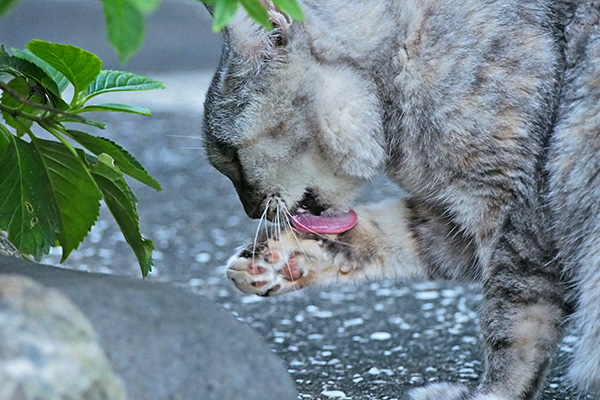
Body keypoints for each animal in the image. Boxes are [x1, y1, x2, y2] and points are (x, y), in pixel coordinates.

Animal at [203, 1, 600, 398]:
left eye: (232, 157)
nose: (250, 210)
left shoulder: (520, 220)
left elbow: (514, 326)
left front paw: (493, 392)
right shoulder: (463, 223)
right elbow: (393, 231)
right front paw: (283, 259)